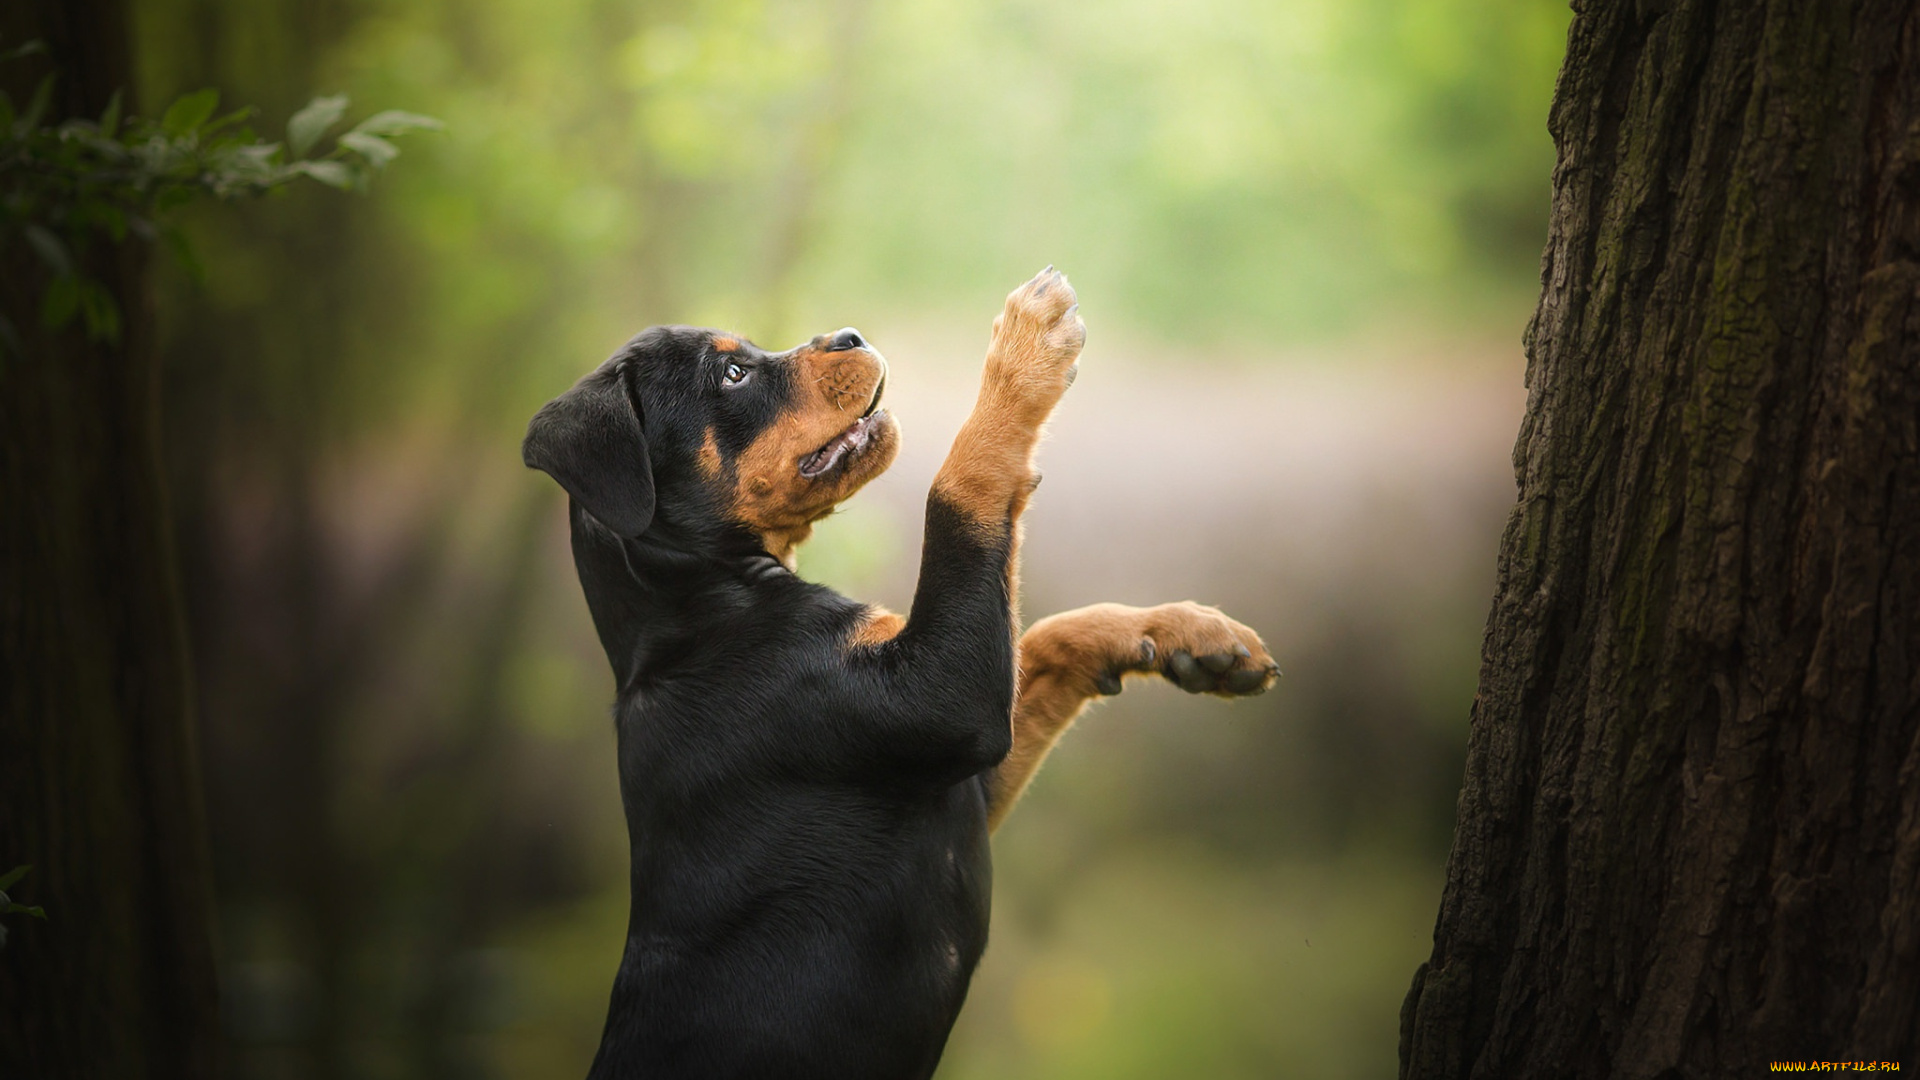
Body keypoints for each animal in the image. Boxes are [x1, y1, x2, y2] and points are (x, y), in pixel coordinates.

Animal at [526, 269, 1274, 1076]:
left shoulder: (961, 774)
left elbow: (1046, 633)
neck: (698, 610)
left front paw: (1189, 635)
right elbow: (957, 493)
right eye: (732, 374)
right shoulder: (943, 701)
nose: (848, 335)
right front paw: (1025, 346)